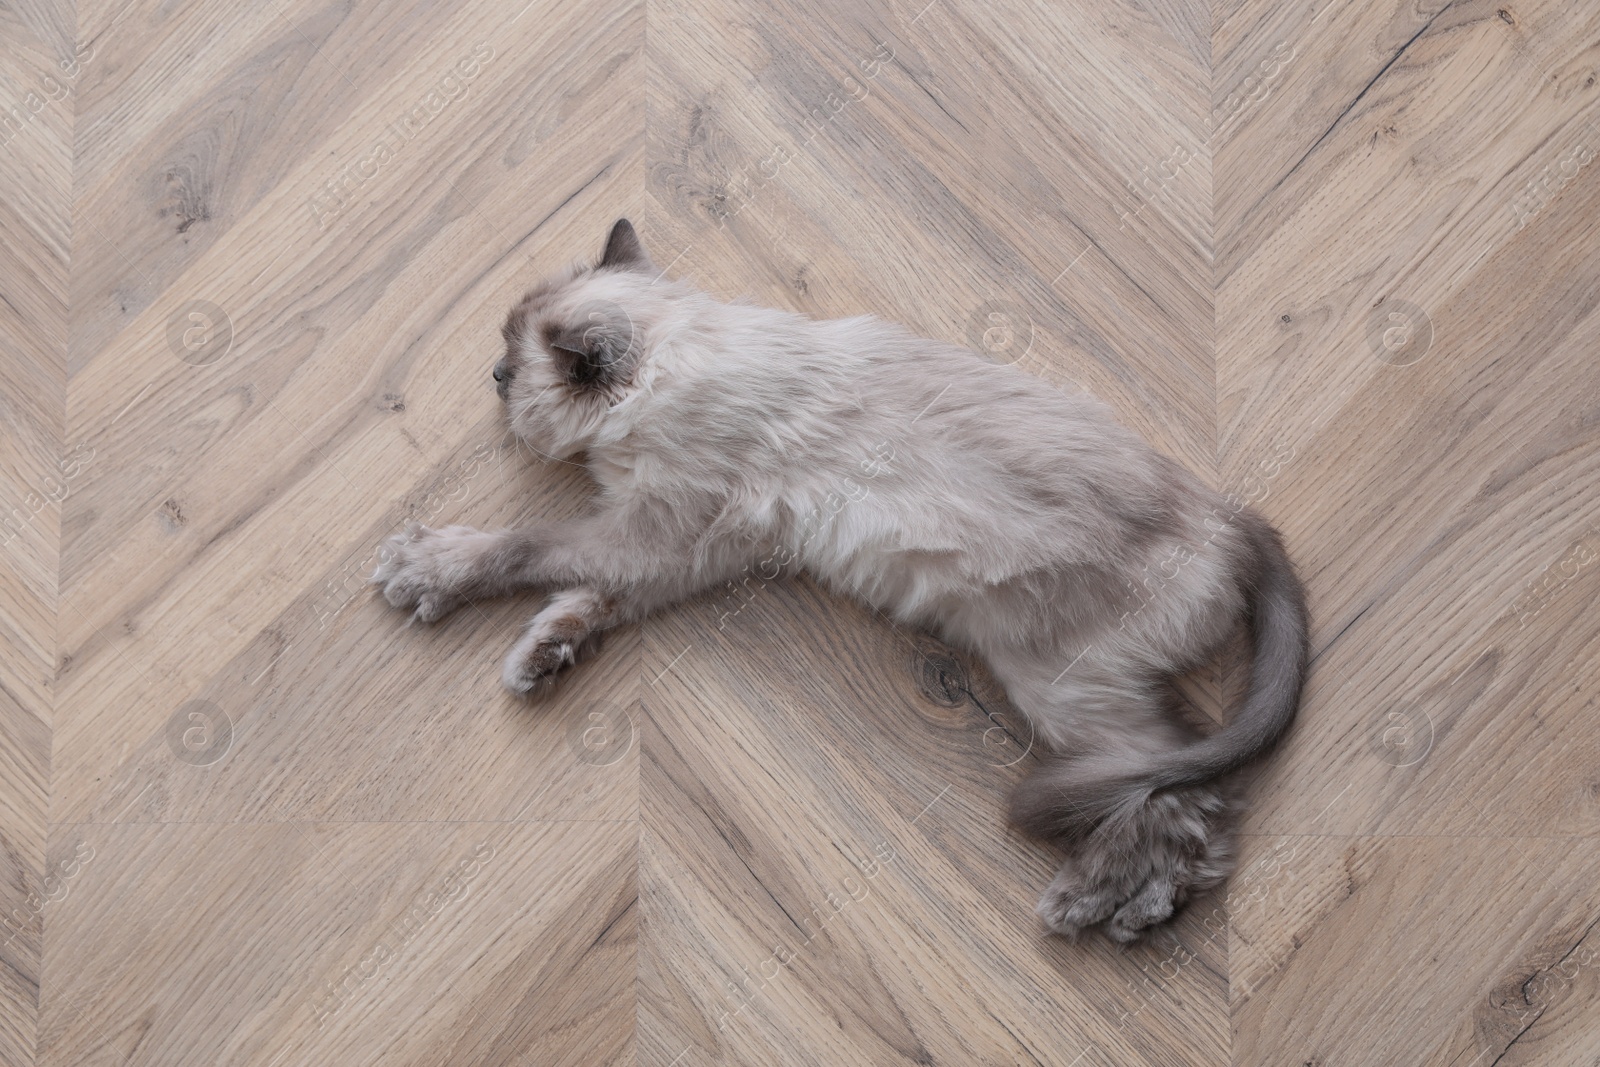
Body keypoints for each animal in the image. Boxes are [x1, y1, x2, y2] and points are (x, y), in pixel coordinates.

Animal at [374, 219, 1312, 940]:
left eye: (511, 370)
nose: (491, 378)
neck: (676, 366)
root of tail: (1233, 519)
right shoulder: (676, 551)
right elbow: (585, 598)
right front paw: (540, 657)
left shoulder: (652, 528)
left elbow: (527, 545)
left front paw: (422, 566)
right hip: (1066, 686)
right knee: (1190, 793)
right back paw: (1129, 907)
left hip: (1057, 683)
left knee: (1181, 800)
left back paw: (1092, 905)